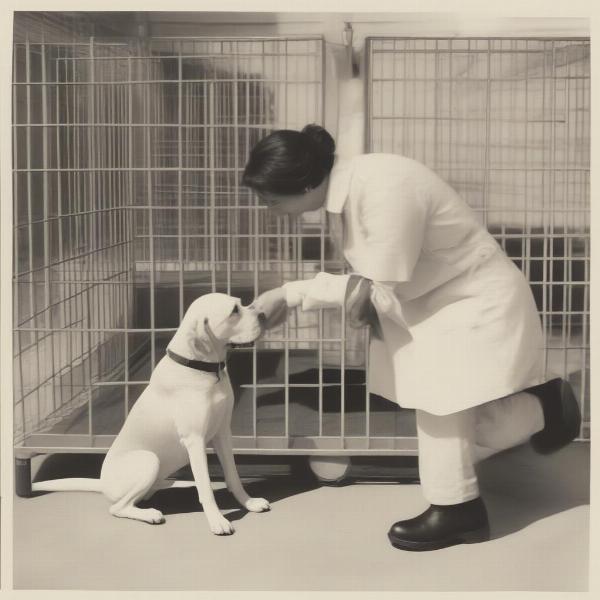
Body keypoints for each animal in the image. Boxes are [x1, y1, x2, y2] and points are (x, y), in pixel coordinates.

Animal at [30, 296, 270, 536]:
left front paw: (249, 502)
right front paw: (217, 520)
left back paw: (174, 484)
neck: (202, 369)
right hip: (148, 460)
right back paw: (150, 513)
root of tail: (103, 483)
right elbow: (206, 488)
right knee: (118, 507)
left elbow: (233, 476)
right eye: (234, 311)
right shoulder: (195, 440)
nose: (264, 314)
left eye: (240, 302)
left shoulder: (222, 433)